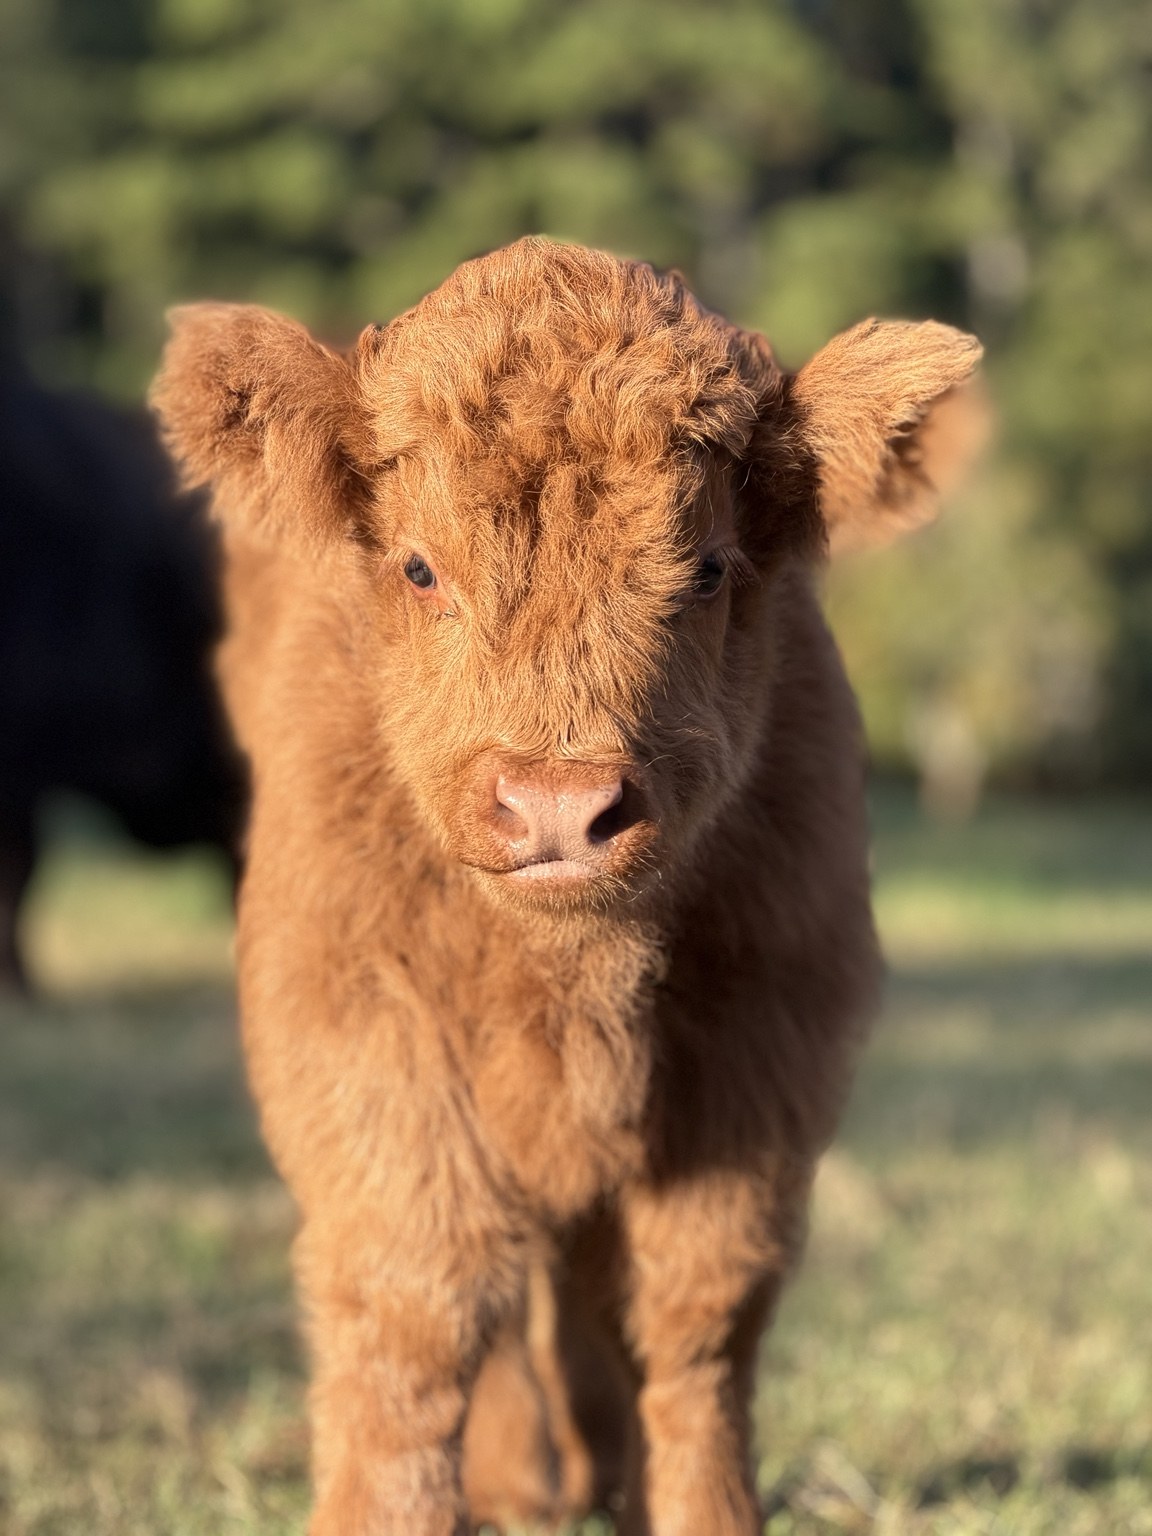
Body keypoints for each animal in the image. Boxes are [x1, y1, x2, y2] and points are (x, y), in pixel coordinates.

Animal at [152, 237, 981, 1536]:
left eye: (709, 570)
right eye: (420, 566)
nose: (557, 804)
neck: (572, 979)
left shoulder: (765, 1042)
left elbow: (697, 1320)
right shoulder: (353, 1023)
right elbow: (418, 1309)